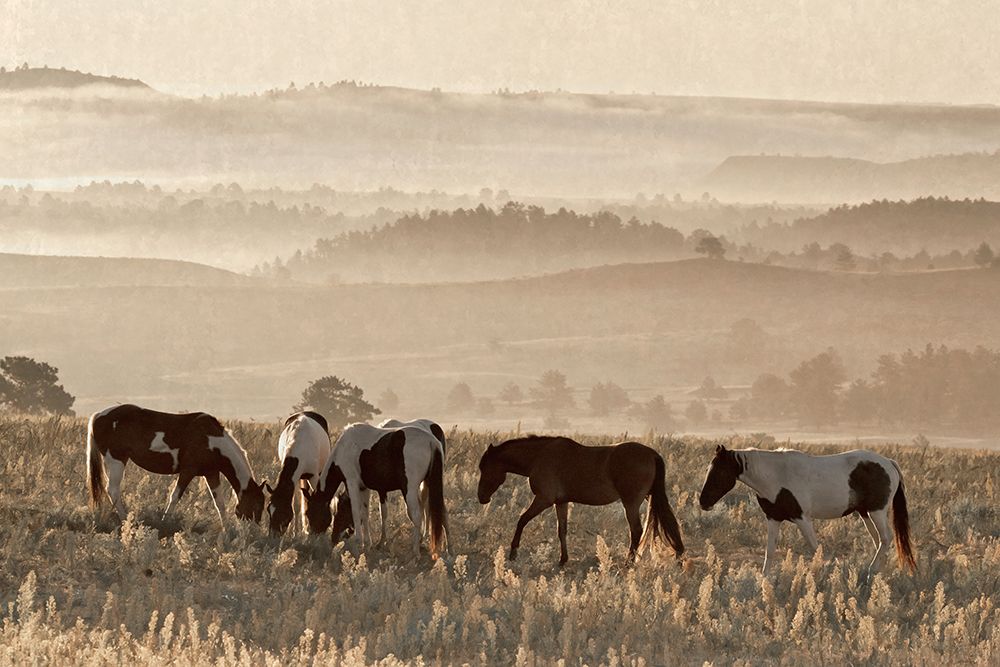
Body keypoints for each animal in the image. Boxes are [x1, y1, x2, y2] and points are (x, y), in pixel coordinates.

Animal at [86, 404, 266, 523]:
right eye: (257, 505)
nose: (253, 531)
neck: (211, 440)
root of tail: (98, 415)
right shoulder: (188, 471)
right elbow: (175, 496)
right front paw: (165, 521)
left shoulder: (211, 473)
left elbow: (219, 503)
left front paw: (226, 528)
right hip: (117, 461)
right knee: (113, 490)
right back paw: (126, 520)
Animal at [304, 423, 448, 558]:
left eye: (310, 513)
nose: (333, 539)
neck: (344, 448)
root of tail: (432, 441)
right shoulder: (364, 488)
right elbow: (365, 513)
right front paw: (367, 544)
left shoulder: (352, 483)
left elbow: (356, 512)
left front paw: (358, 543)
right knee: (440, 513)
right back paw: (447, 548)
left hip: (410, 489)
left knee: (417, 516)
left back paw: (415, 551)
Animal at [477, 435, 684, 566]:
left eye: (485, 468)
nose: (481, 497)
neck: (539, 457)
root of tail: (652, 454)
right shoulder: (560, 502)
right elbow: (562, 530)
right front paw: (563, 560)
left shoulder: (544, 499)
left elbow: (522, 520)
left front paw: (513, 552)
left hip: (631, 503)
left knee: (636, 531)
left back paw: (629, 562)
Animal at [699, 444, 916, 574]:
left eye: (719, 472)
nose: (703, 502)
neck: (776, 475)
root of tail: (889, 462)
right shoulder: (773, 518)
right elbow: (770, 551)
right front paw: (764, 580)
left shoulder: (802, 518)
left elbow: (815, 548)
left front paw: (828, 572)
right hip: (865, 513)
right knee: (879, 541)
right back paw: (876, 572)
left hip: (876, 512)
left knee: (886, 538)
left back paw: (871, 572)